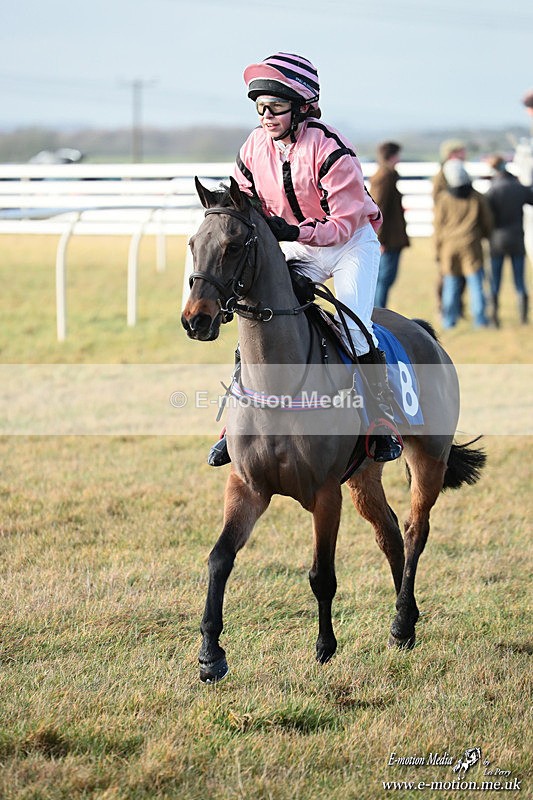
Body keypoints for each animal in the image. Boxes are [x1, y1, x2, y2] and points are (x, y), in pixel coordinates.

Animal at [181, 177, 486, 683]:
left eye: (232, 246)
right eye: (192, 244)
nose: (195, 319)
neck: (280, 384)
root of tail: (424, 332)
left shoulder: (325, 492)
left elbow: (321, 574)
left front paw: (325, 646)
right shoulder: (247, 485)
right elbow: (219, 558)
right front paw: (210, 654)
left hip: (429, 457)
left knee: (414, 531)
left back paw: (401, 622)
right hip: (364, 475)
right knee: (388, 533)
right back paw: (406, 619)